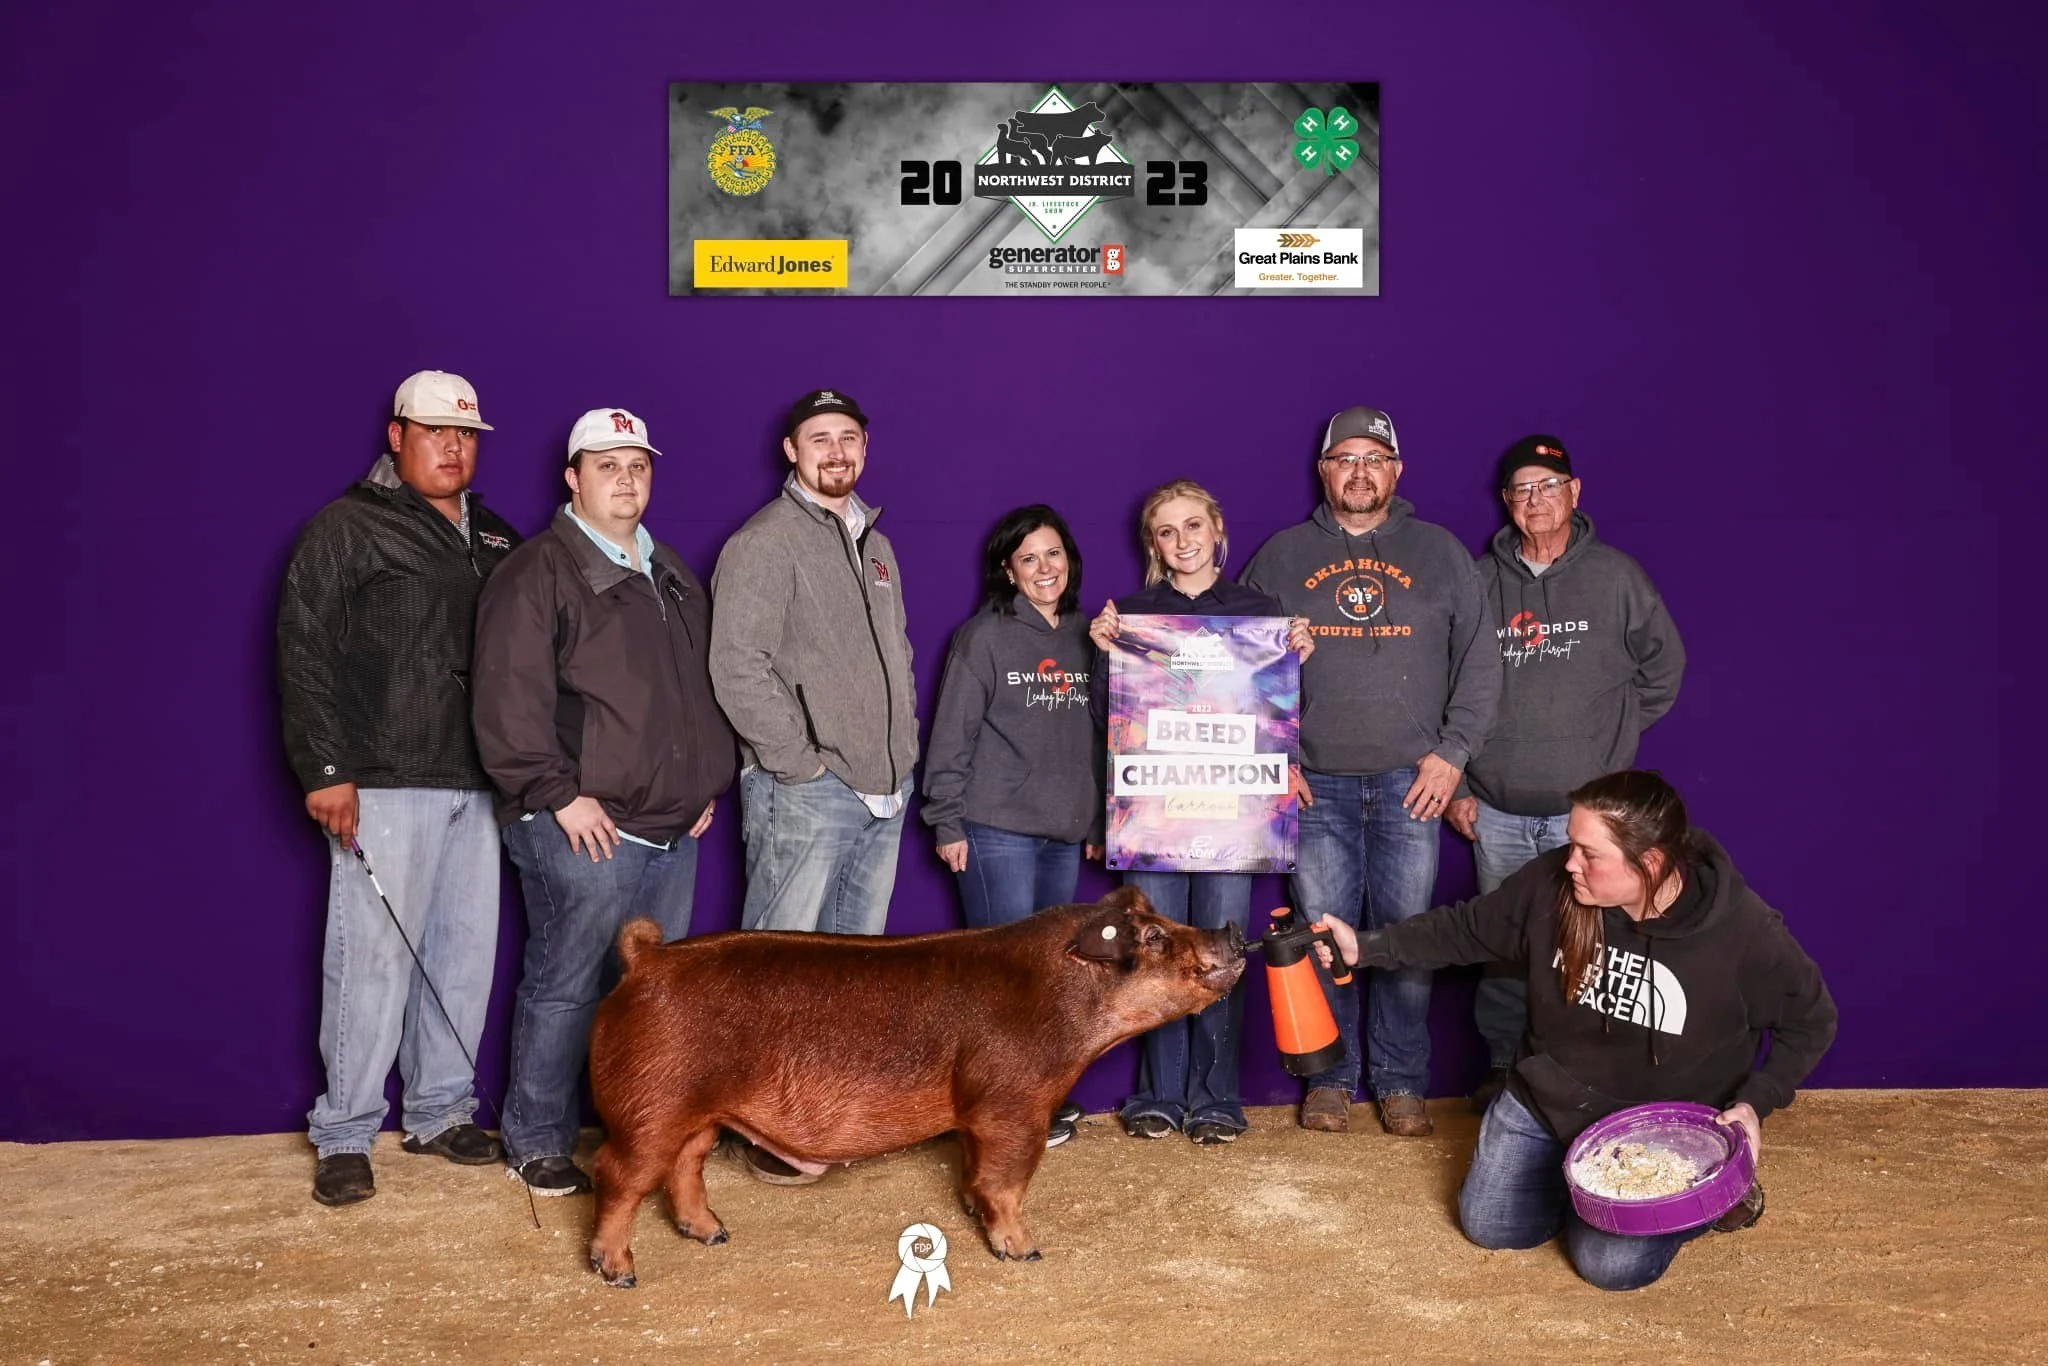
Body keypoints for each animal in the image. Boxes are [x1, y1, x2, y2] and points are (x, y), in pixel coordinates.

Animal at [584, 886, 1245, 1287]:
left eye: (1165, 921)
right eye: (1153, 938)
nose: (1234, 931)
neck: (1065, 1004)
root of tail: (645, 961)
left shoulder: (975, 1112)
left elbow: (975, 1170)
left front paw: (972, 1210)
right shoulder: (1013, 1102)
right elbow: (1008, 1179)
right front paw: (1024, 1251)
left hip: (697, 1111)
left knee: (684, 1165)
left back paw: (714, 1234)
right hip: (649, 1103)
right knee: (617, 1173)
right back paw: (620, 1271)